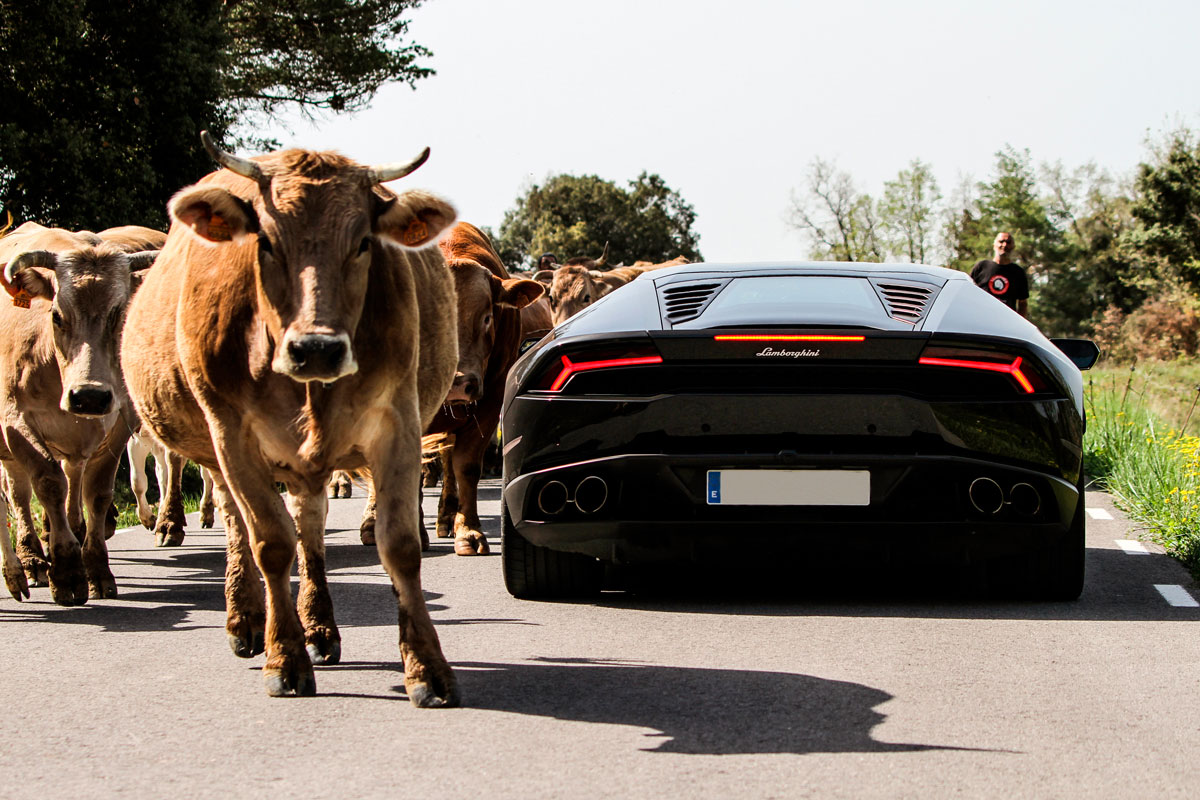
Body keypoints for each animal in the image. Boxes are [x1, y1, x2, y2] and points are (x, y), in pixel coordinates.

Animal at [0, 221, 156, 604]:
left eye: (120, 314)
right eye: (57, 315)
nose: (89, 397)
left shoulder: (117, 423)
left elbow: (96, 493)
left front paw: (96, 569)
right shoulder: (15, 421)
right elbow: (48, 484)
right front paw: (68, 572)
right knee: (19, 492)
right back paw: (31, 561)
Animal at [120, 134, 458, 705]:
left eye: (363, 243)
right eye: (266, 242)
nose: (317, 348)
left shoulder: (399, 422)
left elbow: (399, 545)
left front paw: (427, 668)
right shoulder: (232, 433)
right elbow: (271, 544)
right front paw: (284, 658)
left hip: (307, 465)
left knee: (311, 528)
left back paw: (320, 628)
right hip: (219, 454)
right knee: (241, 524)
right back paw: (247, 620)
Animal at [357, 219, 542, 556]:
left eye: (487, 317)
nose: (457, 383)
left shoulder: (489, 402)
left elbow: (465, 466)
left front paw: (468, 531)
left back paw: (445, 516)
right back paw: (372, 522)